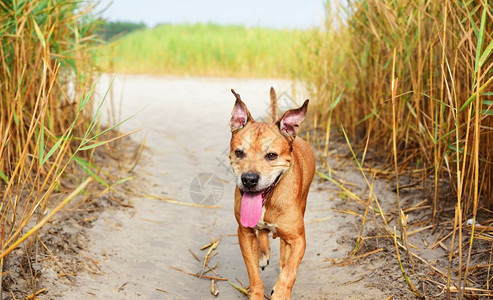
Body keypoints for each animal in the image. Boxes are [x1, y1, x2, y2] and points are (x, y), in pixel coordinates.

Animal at [228, 88, 314, 298]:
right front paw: (257, 293)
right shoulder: (244, 234)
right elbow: (253, 273)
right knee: (264, 233)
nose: (249, 179)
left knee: (284, 249)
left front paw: (281, 293)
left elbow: (290, 271)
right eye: (239, 153)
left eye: (271, 156)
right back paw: (263, 251)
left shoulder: (299, 239)